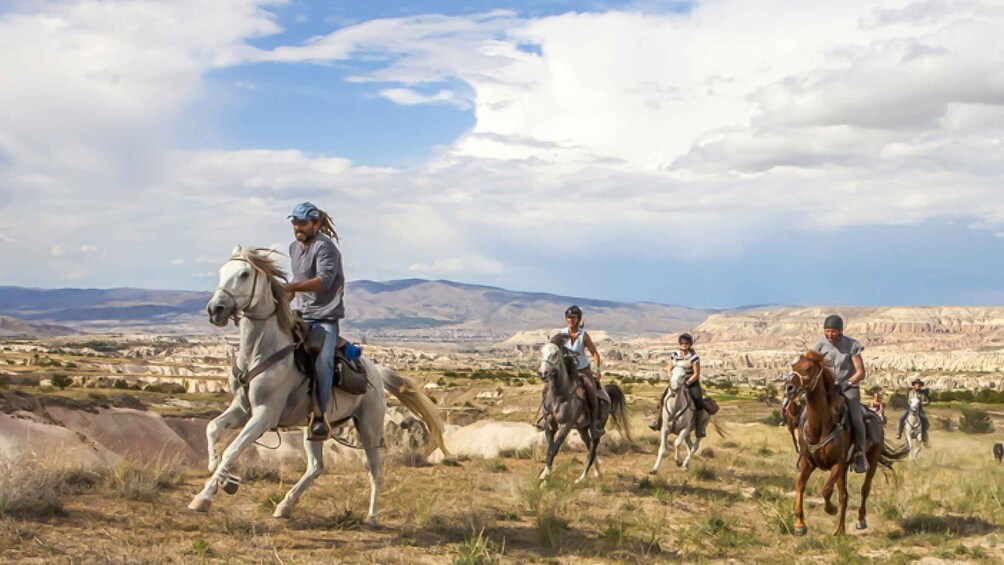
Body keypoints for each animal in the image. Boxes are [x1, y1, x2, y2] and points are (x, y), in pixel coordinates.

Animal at [538, 343, 630, 483]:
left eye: (555, 353)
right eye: (541, 352)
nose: (543, 372)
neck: (559, 396)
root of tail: (606, 392)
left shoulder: (566, 425)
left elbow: (555, 448)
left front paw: (545, 475)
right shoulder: (550, 425)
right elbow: (550, 448)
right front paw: (545, 472)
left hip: (597, 425)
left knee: (593, 448)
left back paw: (582, 478)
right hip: (583, 429)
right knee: (589, 445)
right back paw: (597, 472)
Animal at [783, 351, 911, 537]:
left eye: (808, 368)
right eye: (794, 366)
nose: (789, 388)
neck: (821, 425)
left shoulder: (838, 464)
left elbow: (826, 490)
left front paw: (831, 510)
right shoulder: (808, 462)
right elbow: (800, 486)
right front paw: (799, 524)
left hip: (871, 461)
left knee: (865, 489)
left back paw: (860, 520)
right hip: (844, 470)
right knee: (844, 495)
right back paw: (840, 530)